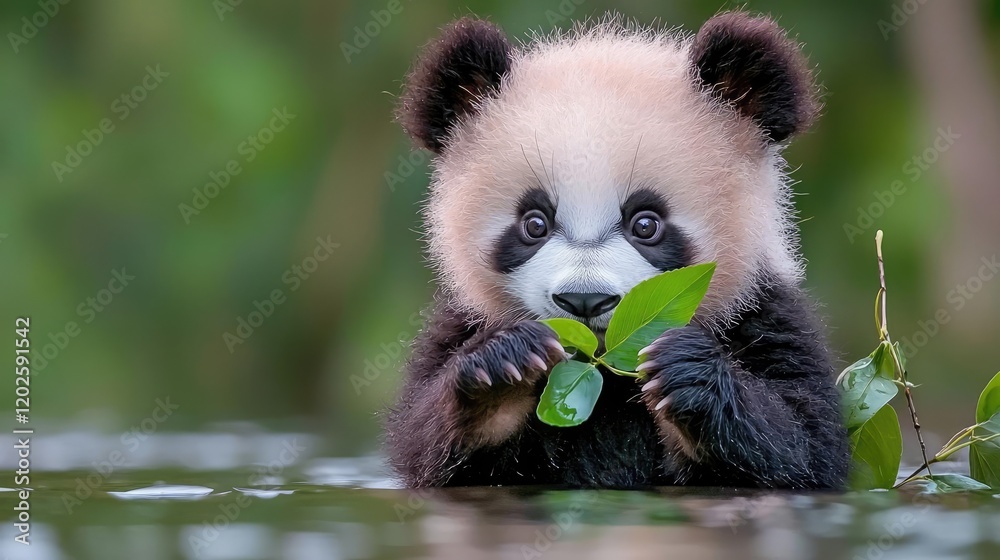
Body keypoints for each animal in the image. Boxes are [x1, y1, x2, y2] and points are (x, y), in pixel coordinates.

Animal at [385, 12, 850, 489]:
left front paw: (685, 373)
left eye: (646, 224)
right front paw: (502, 369)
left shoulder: (765, 314)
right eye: (534, 224)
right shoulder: (458, 325)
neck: (605, 369)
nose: (584, 300)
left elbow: (803, 444)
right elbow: (423, 445)